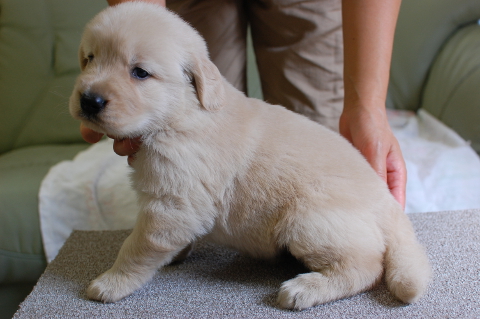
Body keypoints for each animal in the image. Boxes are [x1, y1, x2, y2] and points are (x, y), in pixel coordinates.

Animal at [70, 1, 432, 310]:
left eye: (140, 73)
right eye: (89, 59)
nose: (89, 100)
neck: (180, 113)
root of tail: (384, 199)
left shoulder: (172, 203)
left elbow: (137, 246)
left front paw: (111, 282)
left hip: (307, 220)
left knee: (366, 265)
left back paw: (305, 289)